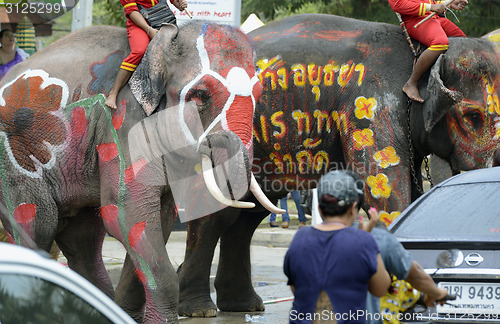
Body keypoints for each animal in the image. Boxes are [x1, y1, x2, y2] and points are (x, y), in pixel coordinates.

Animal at [0, 21, 284, 322]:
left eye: (258, 94)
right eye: (201, 95)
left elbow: (158, 216)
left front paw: (127, 314)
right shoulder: (123, 124)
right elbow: (126, 213)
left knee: (83, 240)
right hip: (14, 163)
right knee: (38, 224)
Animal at [177, 14, 500, 316]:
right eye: (473, 117)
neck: (419, 53)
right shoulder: (372, 108)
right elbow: (382, 189)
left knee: (247, 215)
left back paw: (243, 306)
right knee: (214, 211)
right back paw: (199, 310)